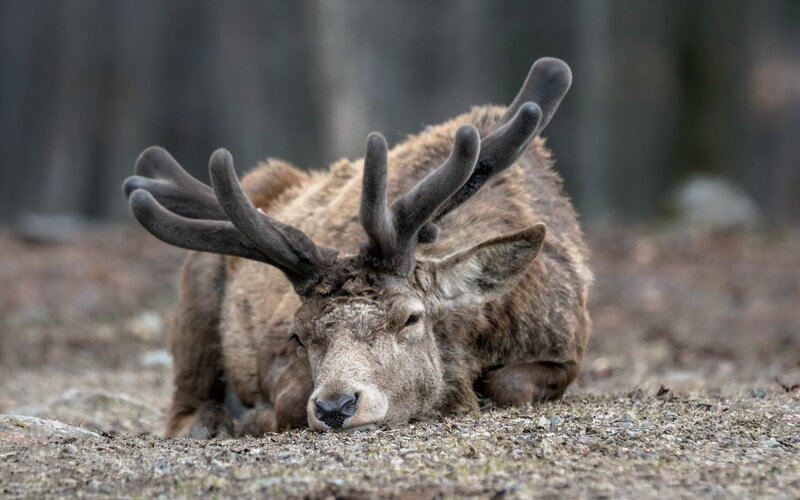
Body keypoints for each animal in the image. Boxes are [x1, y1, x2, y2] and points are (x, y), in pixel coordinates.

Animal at [123, 57, 591, 437]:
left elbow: (508, 383)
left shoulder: (569, 345)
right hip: (196, 293)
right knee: (183, 405)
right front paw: (255, 417)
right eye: (297, 334)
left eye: (411, 318)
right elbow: (287, 405)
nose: (336, 406)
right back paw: (213, 422)